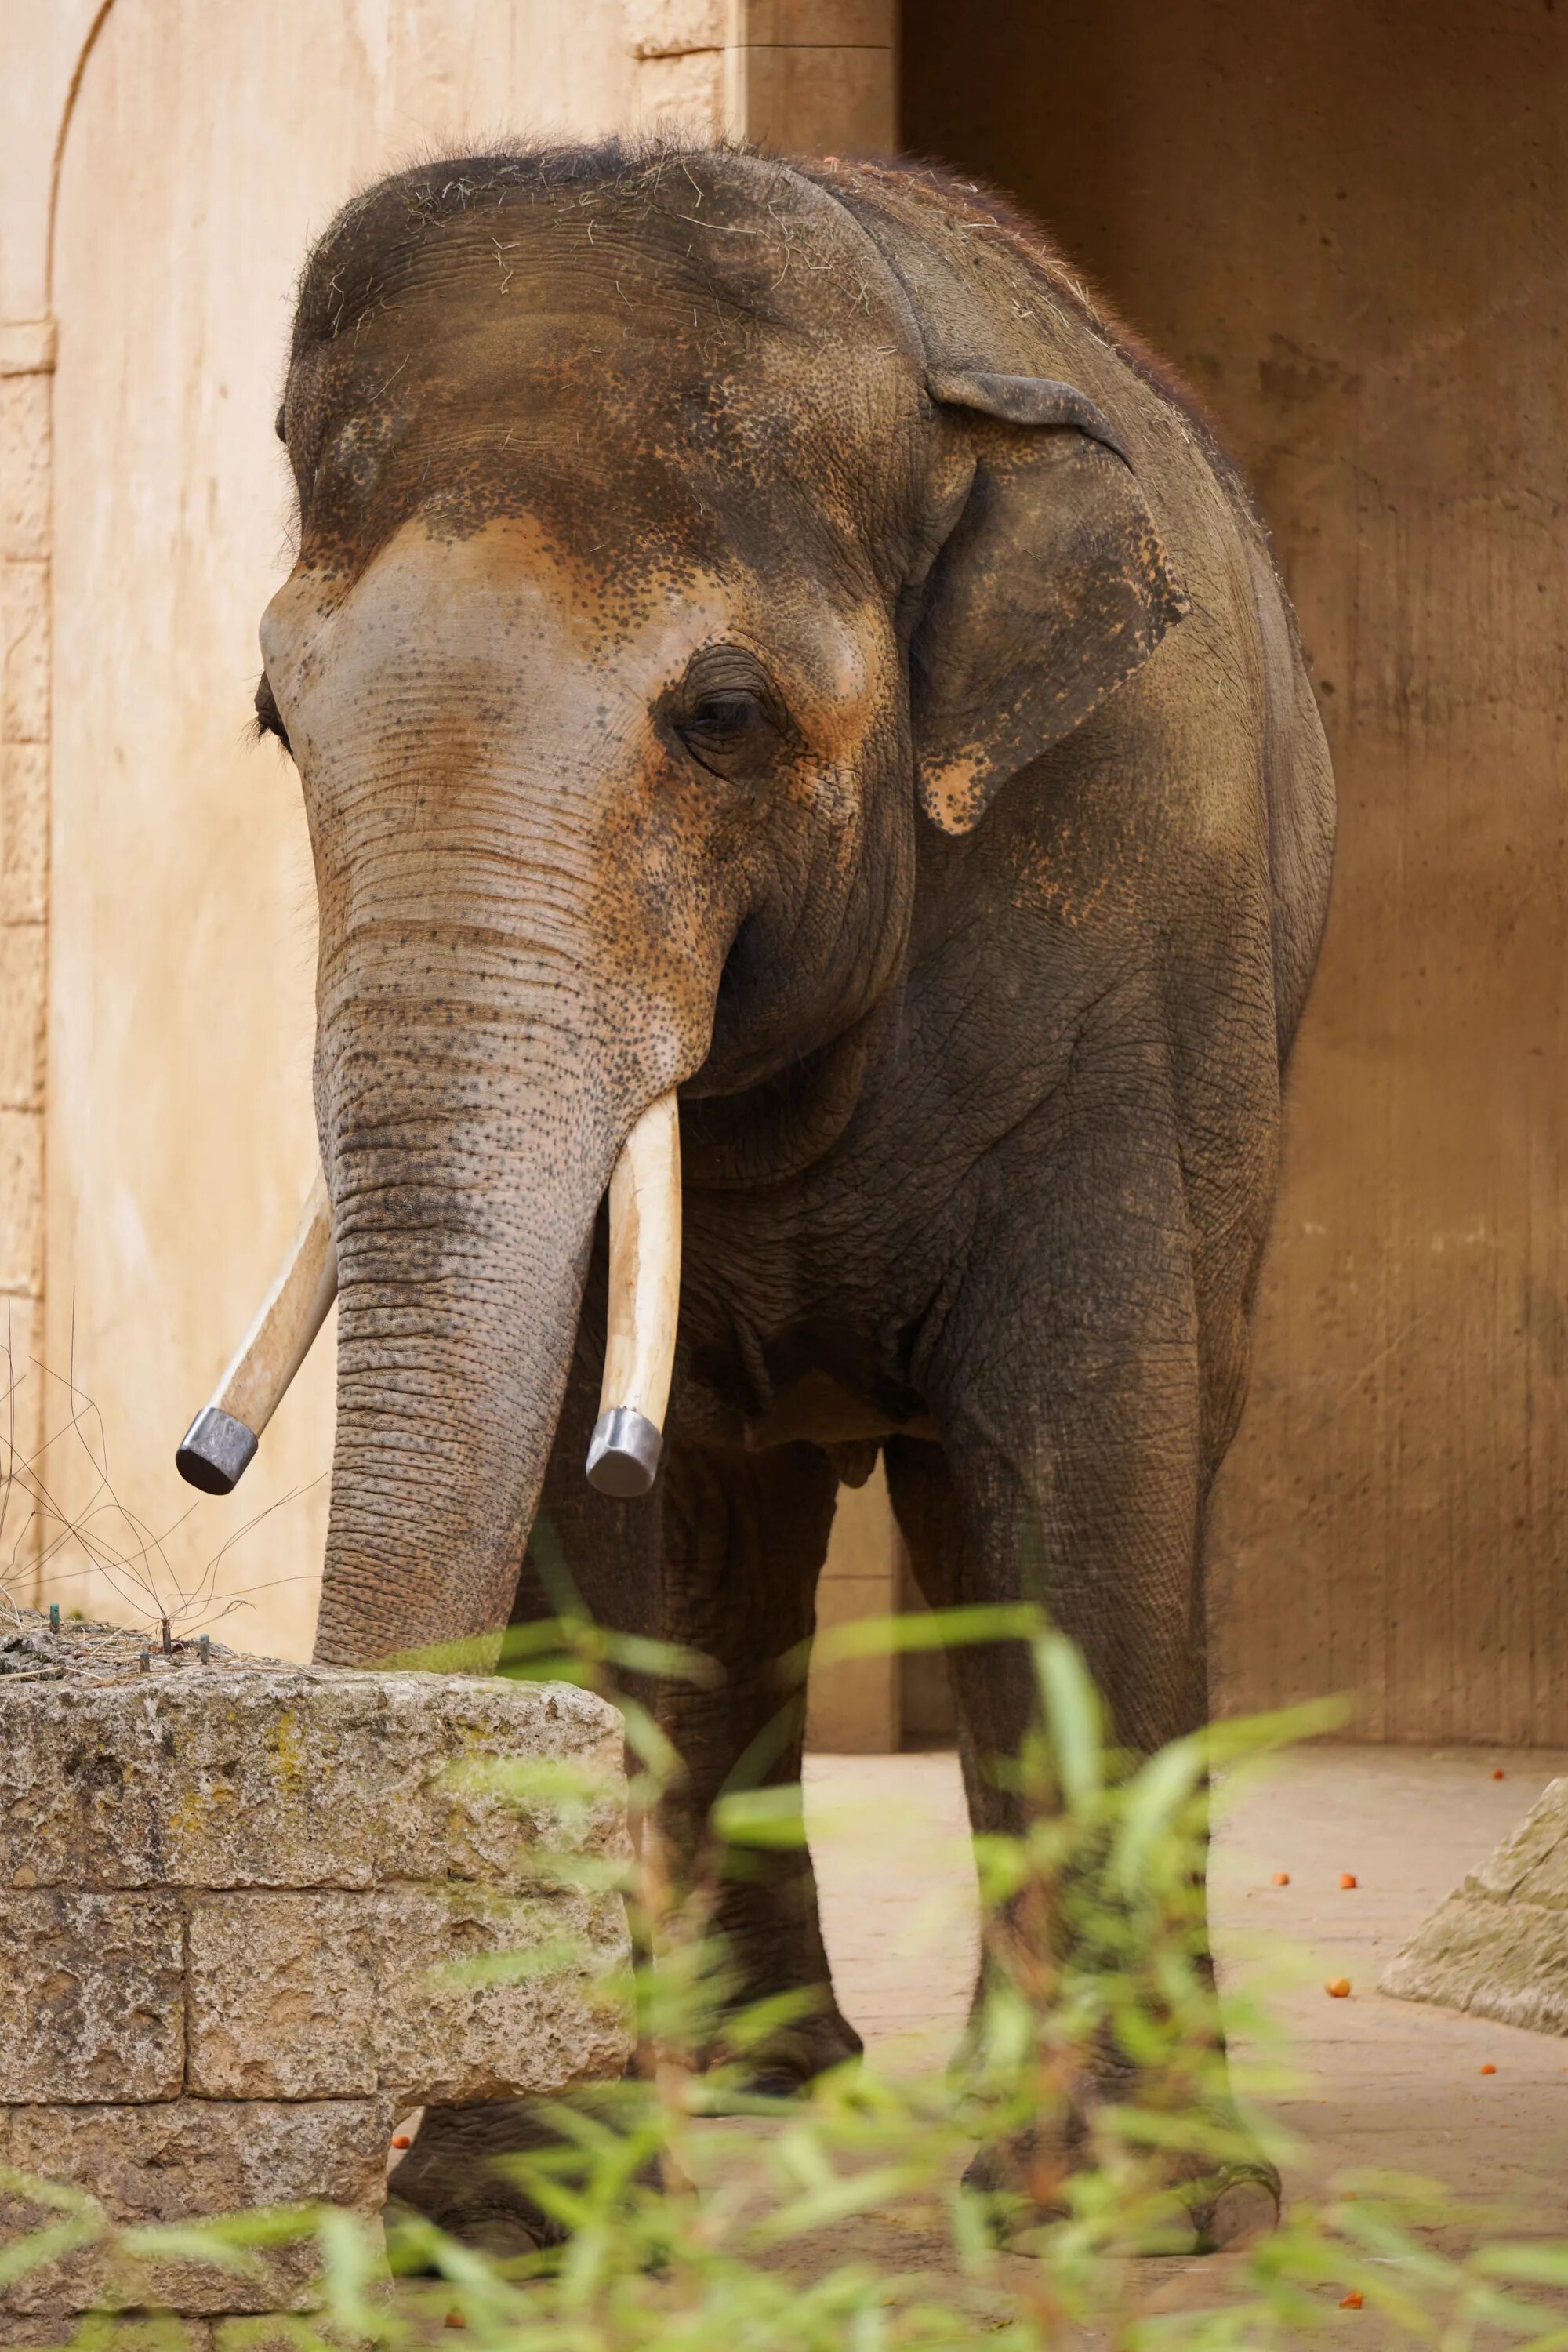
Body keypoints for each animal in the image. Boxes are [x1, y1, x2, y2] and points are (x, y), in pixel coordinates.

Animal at [257, 137, 1335, 2249]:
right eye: (272, 718)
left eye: (724, 718)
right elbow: (576, 1513)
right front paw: (514, 2220)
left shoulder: (1129, 919)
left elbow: (1084, 1438)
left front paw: (1129, 2211)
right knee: (730, 1539)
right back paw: (770, 2076)